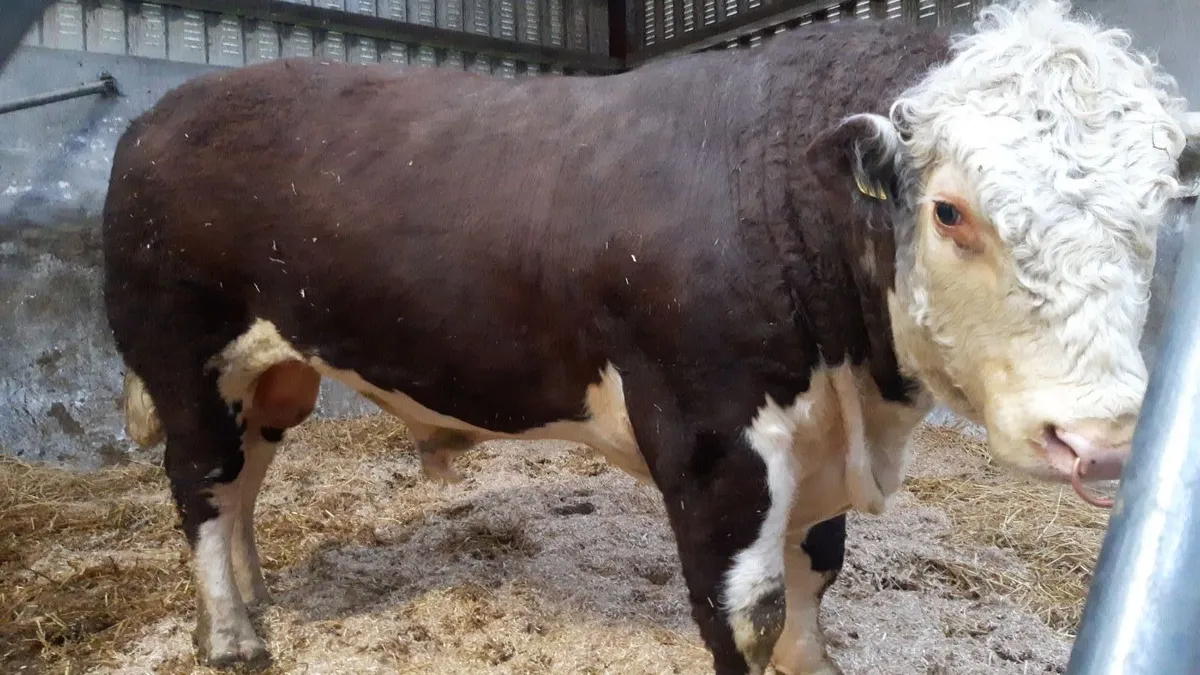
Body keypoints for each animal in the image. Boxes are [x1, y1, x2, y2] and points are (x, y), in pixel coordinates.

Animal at [101, 0, 1199, 673]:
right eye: (949, 211)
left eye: (1158, 208)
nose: (1100, 443)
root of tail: (165, 113)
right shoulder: (712, 450)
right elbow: (748, 616)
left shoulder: (813, 449)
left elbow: (816, 584)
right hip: (180, 353)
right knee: (200, 487)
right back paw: (232, 635)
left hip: (270, 375)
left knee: (240, 486)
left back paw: (255, 604)